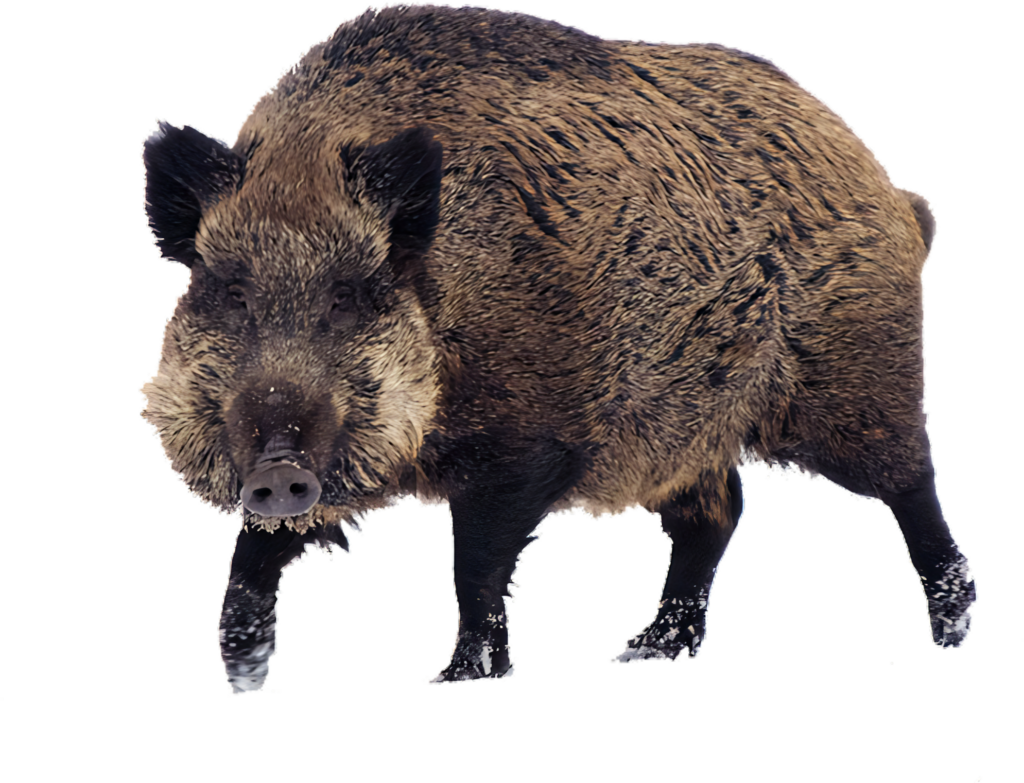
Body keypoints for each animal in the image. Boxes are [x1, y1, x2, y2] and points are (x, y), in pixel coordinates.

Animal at [140, 3, 976, 693]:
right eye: (230, 289)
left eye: (349, 293)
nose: (277, 466)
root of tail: (896, 195)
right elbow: (256, 551)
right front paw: (244, 672)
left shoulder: (529, 445)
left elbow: (476, 565)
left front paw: (462, 677)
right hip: (685, 429)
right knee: (716, 514)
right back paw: (646, 651)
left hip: (853, 378)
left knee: (908, 483)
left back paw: (951, 627)